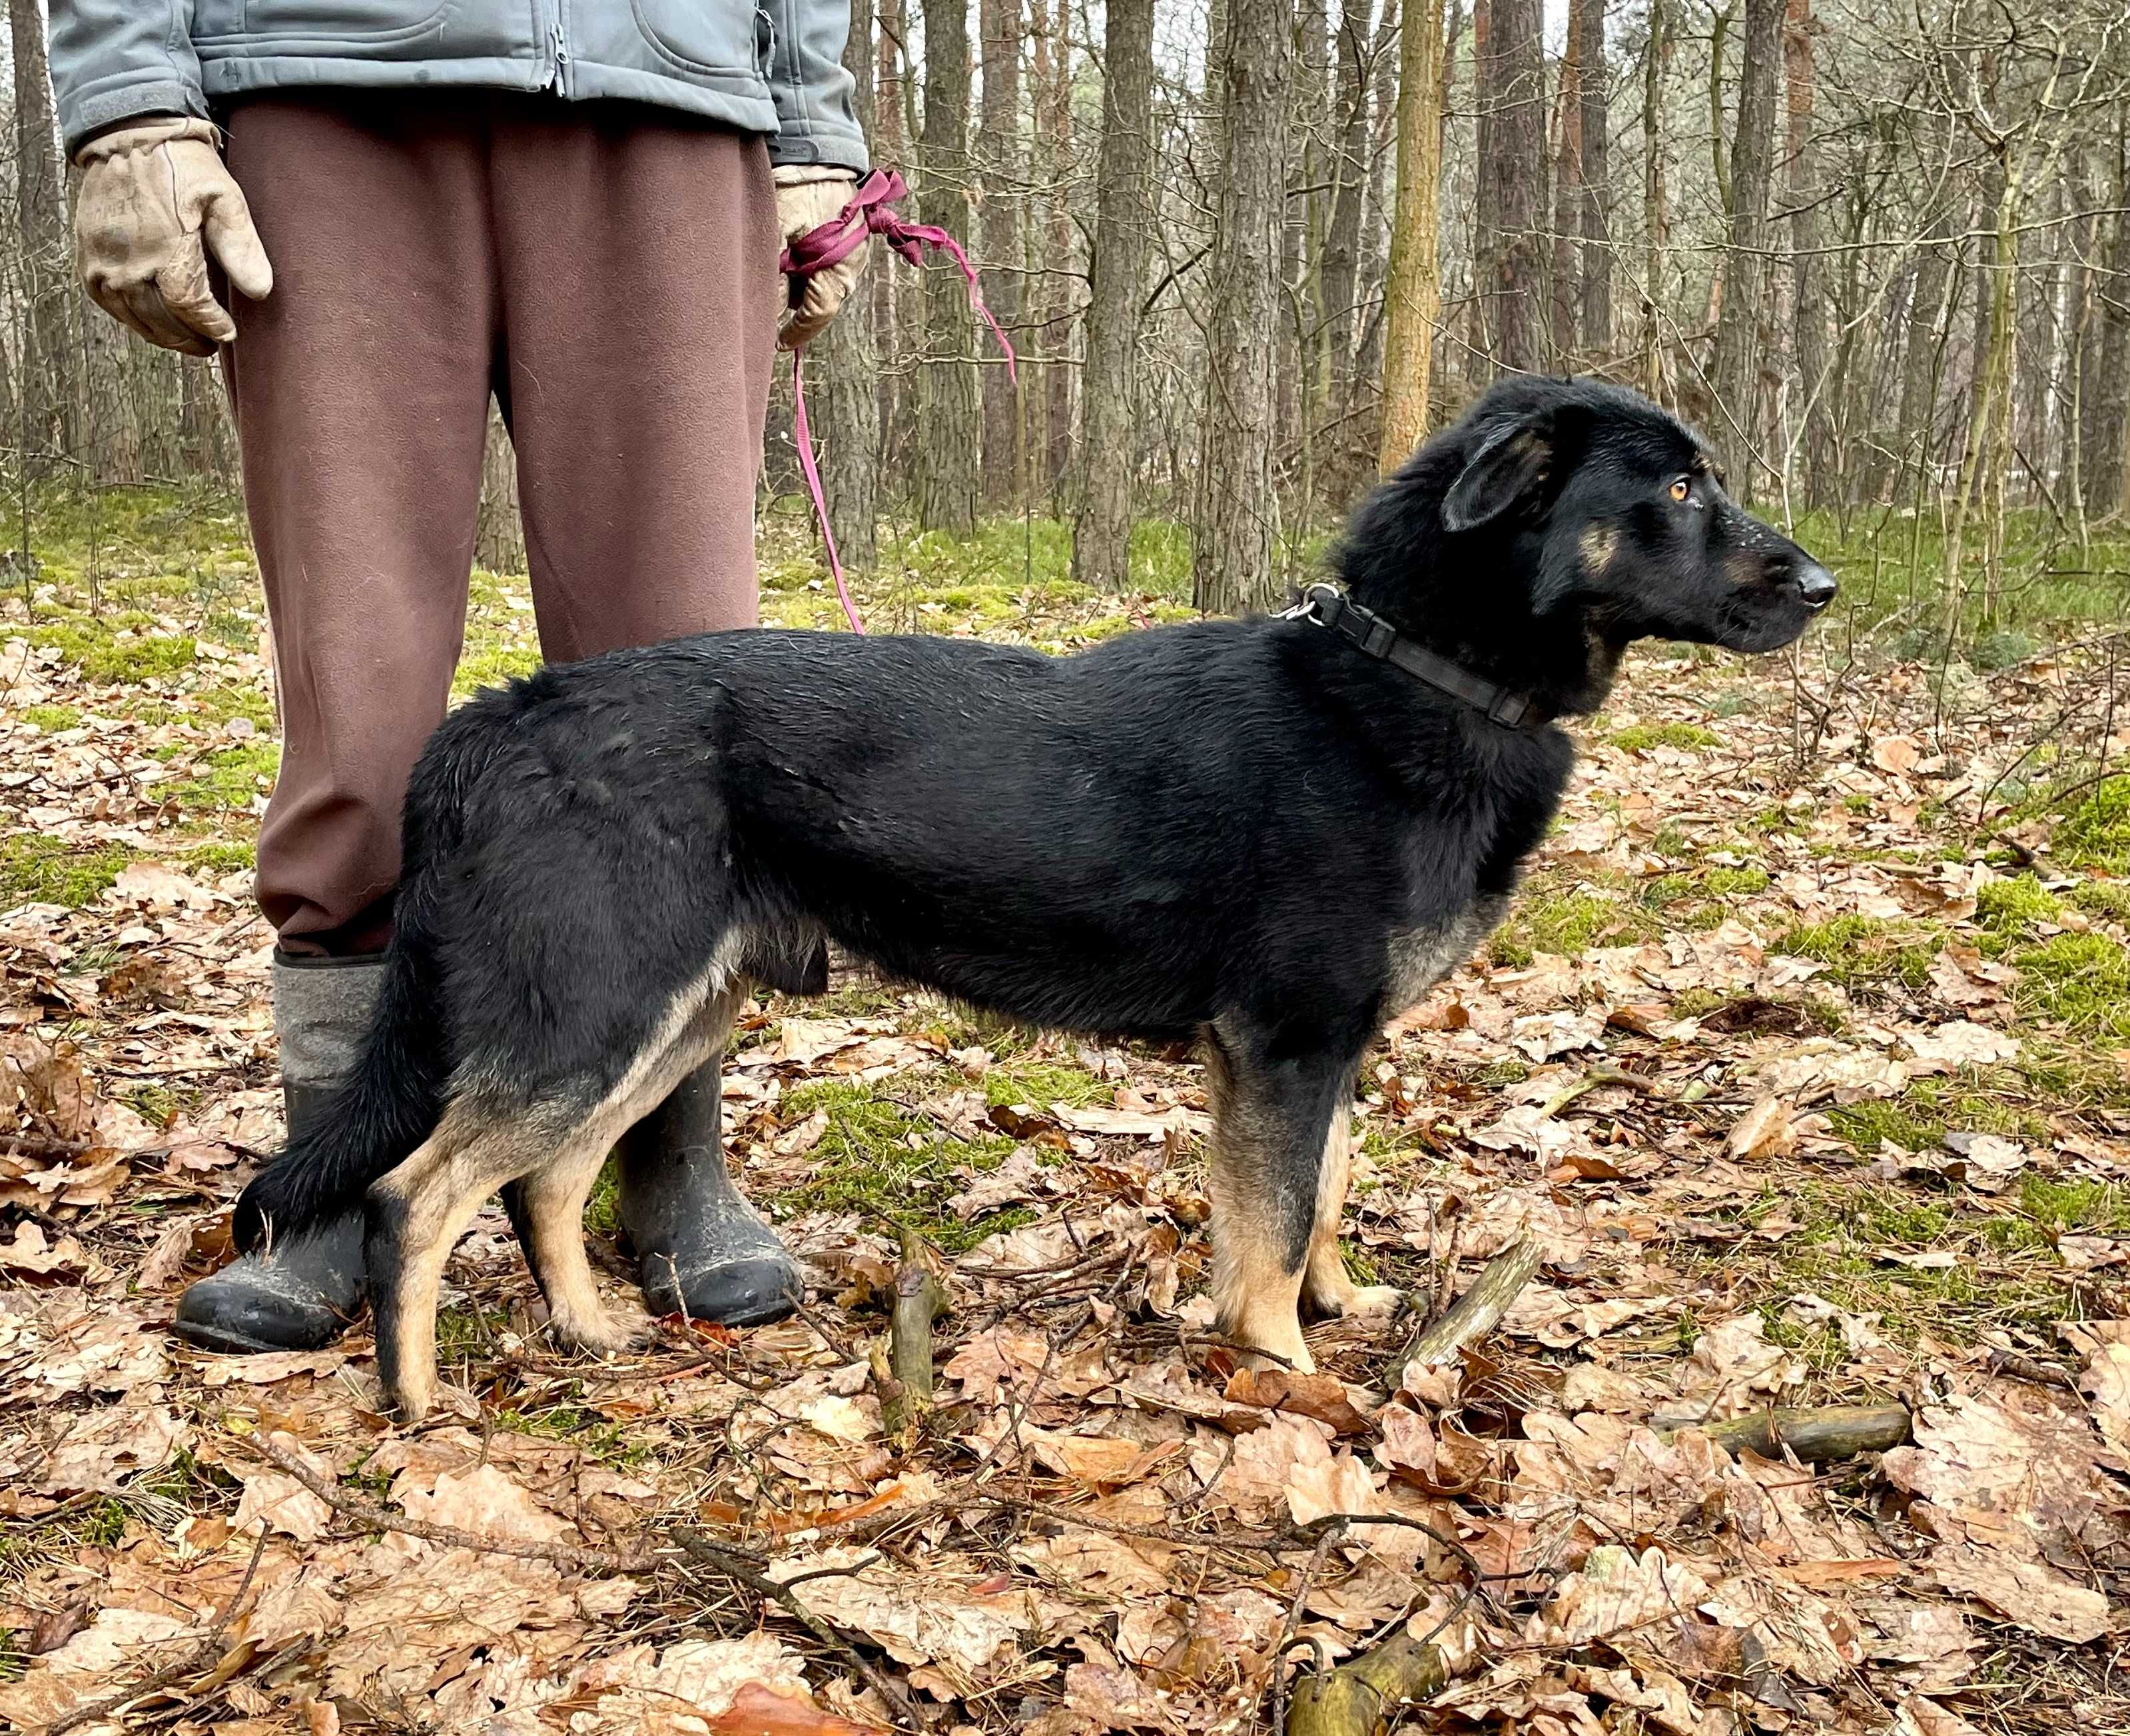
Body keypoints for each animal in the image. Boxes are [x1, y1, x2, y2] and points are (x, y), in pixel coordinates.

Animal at [233, 372, 1832, 1422]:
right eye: (1675, 488)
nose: (1820, 587)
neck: (1410, 672)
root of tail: (492, 721)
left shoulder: (1332, 1047)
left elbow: (1320, 1195)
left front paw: (1338, 1311)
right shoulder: (1282, 1044)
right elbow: (1265, 1227)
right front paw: (1285, 1371)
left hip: (667, 1014)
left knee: (551, 1179)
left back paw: (590, 1336)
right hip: (593, 1006)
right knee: (417, 1193)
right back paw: (419, 1408)